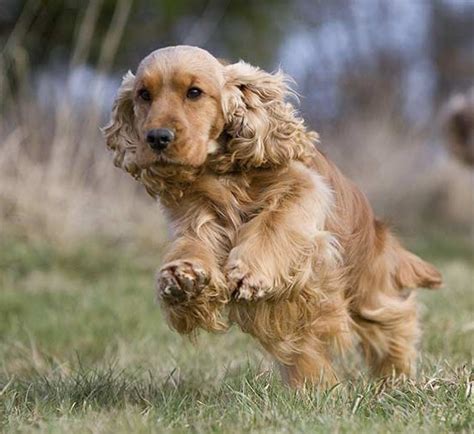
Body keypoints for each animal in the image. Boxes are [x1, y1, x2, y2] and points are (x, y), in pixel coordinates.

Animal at [102, 46, 442, 386]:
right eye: (144, 95)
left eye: (194, 92)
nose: (157, 138)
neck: (223, 172)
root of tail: (377, 228)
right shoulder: (197, 218)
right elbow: (192, 245)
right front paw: (181, 279)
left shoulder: (303, 190)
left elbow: (274, 222)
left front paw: (249, 273)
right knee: (305, 350)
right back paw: (316, 386)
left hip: (366, 287)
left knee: (393, 321)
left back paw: (395, 376)